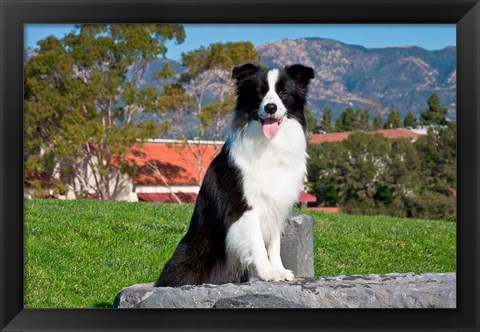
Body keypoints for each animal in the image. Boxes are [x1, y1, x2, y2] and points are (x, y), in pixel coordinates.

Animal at [155, 63, 316, 286]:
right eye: (259, 92)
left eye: (283, 93)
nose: (270, 108)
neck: (269, 145)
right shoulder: (244, 206)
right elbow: (257, 243)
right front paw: (267, 273)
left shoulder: (277, 204)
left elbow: (274, 244)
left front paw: (279, 270)